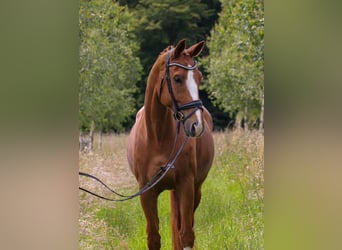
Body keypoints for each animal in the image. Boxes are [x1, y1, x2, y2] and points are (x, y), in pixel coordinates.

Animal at [127, 40, 214, 249]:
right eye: (177, 78)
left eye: (199, 78)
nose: (197, 125)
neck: (157, 137)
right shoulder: (146, 192)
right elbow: (153, 237)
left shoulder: (186, 186)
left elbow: (186, 236)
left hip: (196, 190)